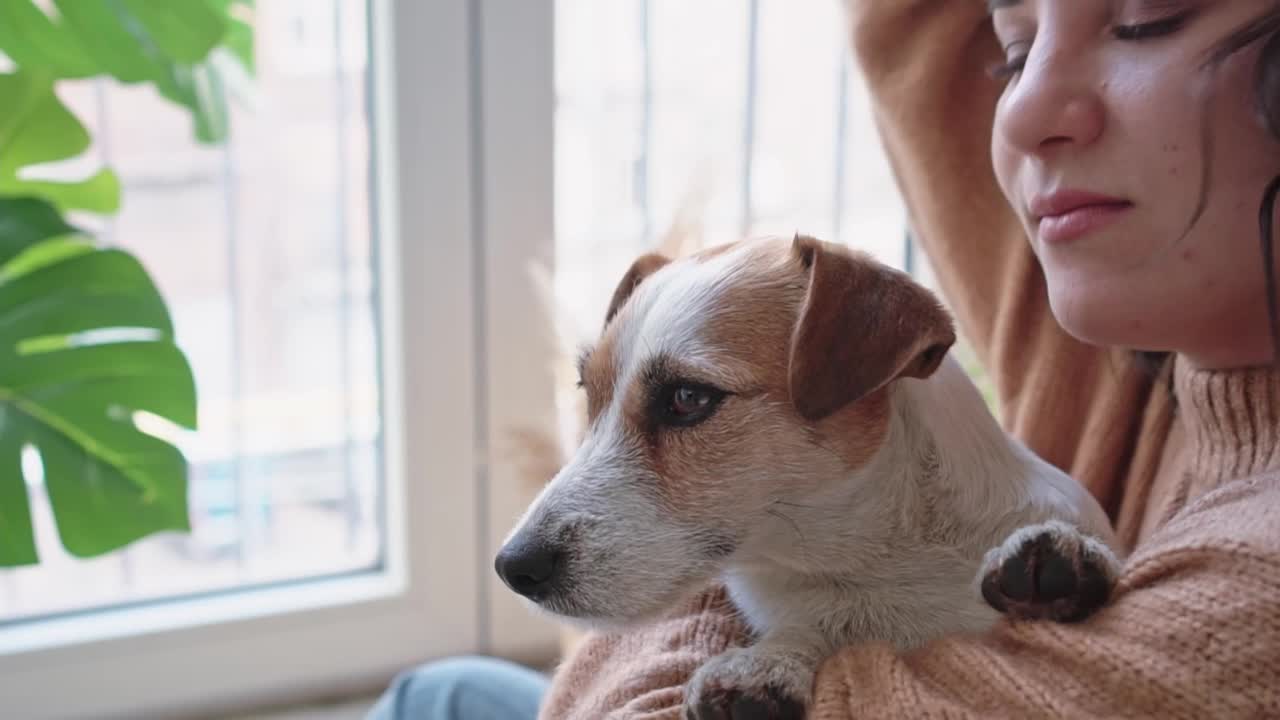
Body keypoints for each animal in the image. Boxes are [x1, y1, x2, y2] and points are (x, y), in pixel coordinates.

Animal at [494, 235, 1116, 717]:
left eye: (688, 398)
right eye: (588, 393)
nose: (512, 568)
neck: (876, 561)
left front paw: (1065, 556)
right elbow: (804, 629)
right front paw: (771, 660)